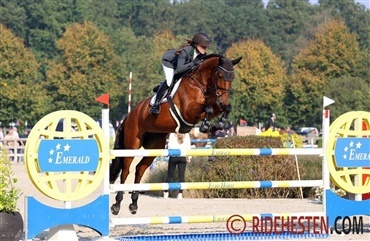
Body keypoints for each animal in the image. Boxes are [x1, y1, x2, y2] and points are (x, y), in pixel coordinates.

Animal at [109, 54, 243, 215]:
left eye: (233, 77)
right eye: (221, 75)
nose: (223, 101)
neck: (199, 83)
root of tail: (129, 115)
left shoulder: (213, 104)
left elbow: (222, 108)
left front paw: (217, 124)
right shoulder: (189, 111)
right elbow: (208, 108)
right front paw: (206, 125)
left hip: (154, 146)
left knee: (139, 169)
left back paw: (134, 204)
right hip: (132, 144)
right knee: (125, 170)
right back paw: (117, 204)